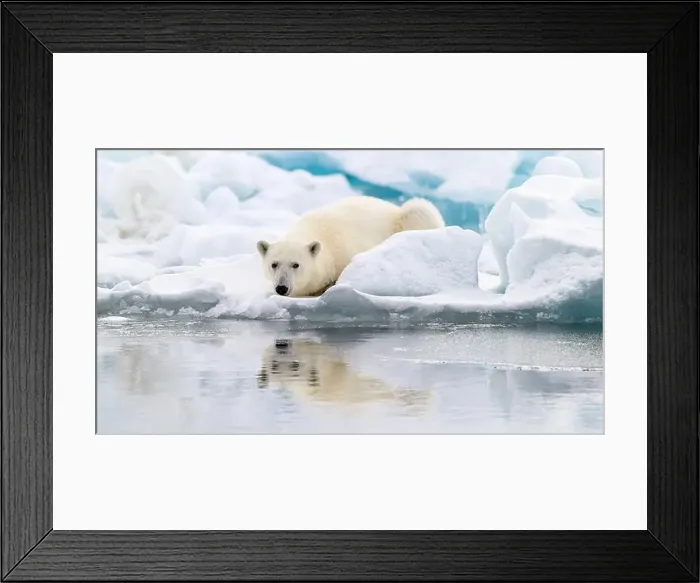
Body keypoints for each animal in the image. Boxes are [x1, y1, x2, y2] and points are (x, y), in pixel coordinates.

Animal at [256, 196, 444, 297]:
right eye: (274, 264)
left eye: (295, 264)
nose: (281, 288)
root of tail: (393, 207)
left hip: (408, 217)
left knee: (419, 209)